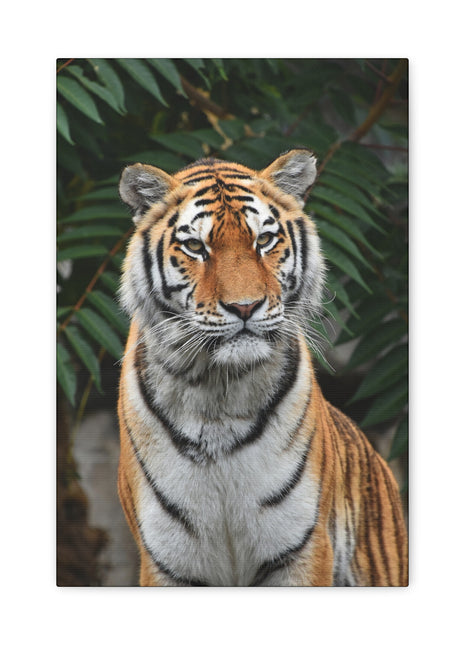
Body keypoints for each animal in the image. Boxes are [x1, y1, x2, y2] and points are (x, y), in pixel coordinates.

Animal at [117, 148, 408, 586]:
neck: (217, 393)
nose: (245, 306)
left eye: (264, 240)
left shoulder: (301, 549)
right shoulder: (168, 562)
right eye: (195, 246)